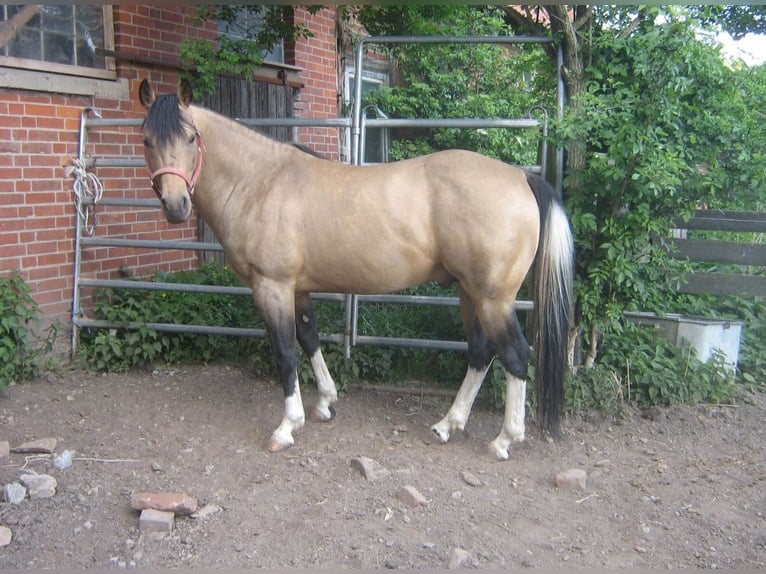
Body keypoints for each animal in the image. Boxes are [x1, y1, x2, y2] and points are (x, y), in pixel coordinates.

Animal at [138, 79, 572, 462]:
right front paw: (325, 403)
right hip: (470, 293)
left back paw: (504, 440)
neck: (260, 182)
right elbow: (310, 339)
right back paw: (448, 424)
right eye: (146, 140)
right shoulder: (297, 290)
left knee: (515, 356)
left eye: (190, 138)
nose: (175, 206)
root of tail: (521, 176)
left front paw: (287, 426)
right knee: (481, 353)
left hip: (492, 298)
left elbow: (285, 351)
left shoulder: (271, 287)